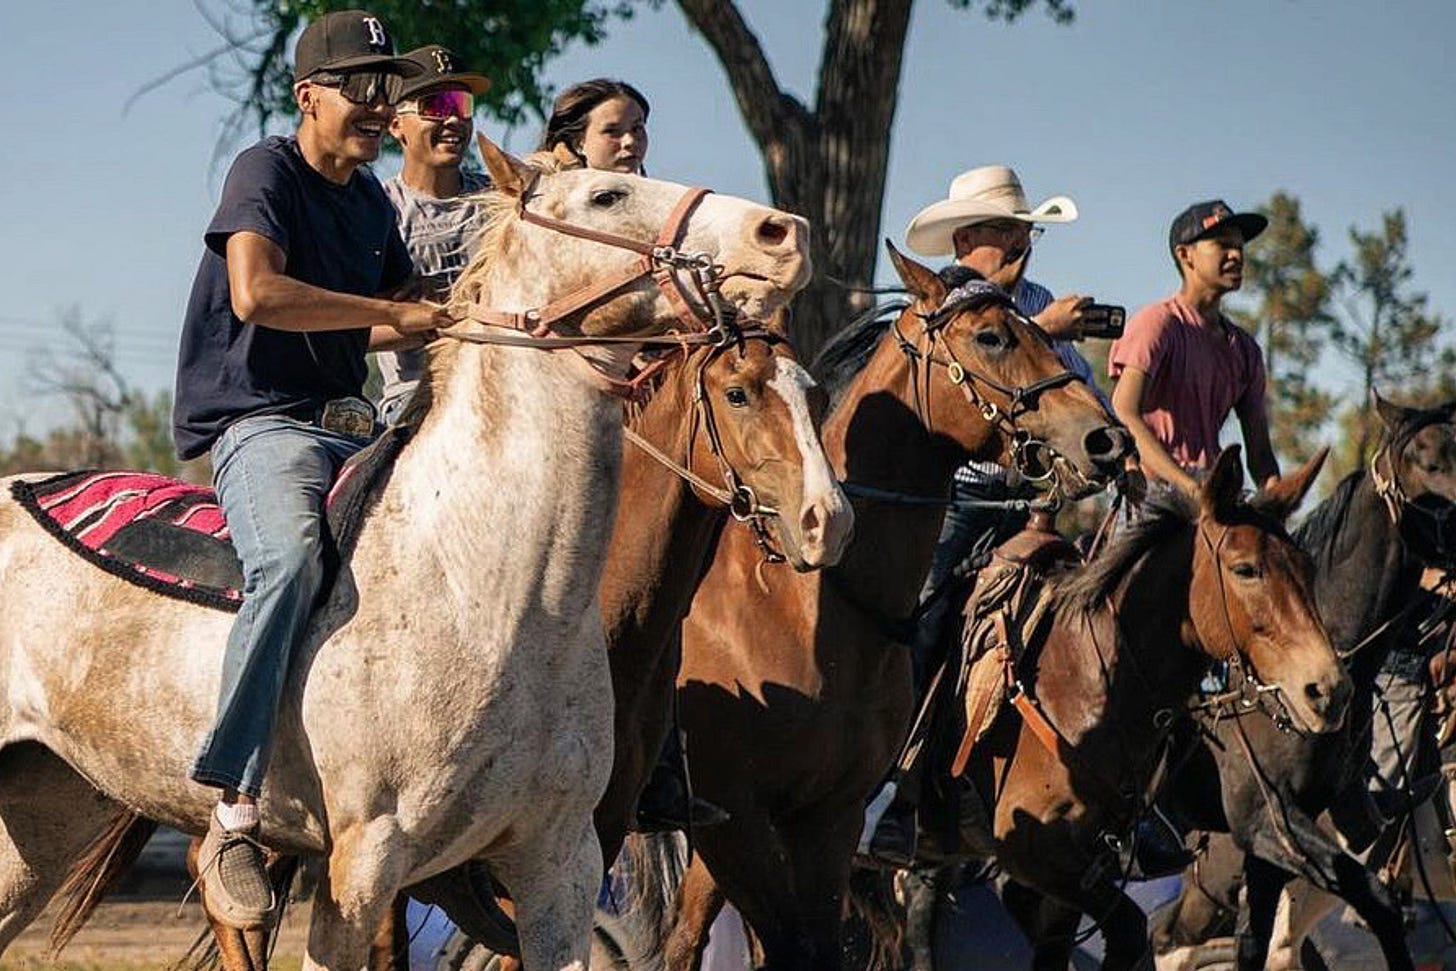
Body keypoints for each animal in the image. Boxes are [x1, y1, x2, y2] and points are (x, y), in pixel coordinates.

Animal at [0, 138, 821, 971]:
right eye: (607, 195)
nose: (781, 232)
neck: (480, 582)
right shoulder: (364, 865)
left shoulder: (561, 862)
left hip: (42, 816)